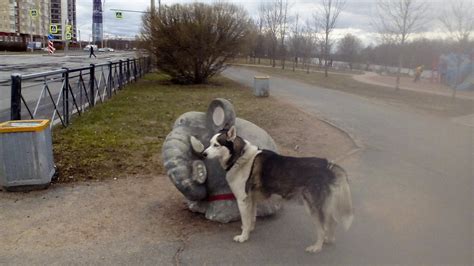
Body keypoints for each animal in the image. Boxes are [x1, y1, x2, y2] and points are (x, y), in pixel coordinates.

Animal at [202, 125, 354, 252]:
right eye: (209, 143)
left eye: (216, 145)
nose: (203, 154)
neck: (240, 157)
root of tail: (327, 165)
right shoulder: (251, 200)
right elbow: (251, 218)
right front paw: (249, 230)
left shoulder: (243, 200)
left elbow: (245, 220)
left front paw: (243, 237)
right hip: (323, 205)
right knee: (333, 222)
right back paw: (329, 240)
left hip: (313, 207)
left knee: (322, 228)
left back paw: (317, 247)